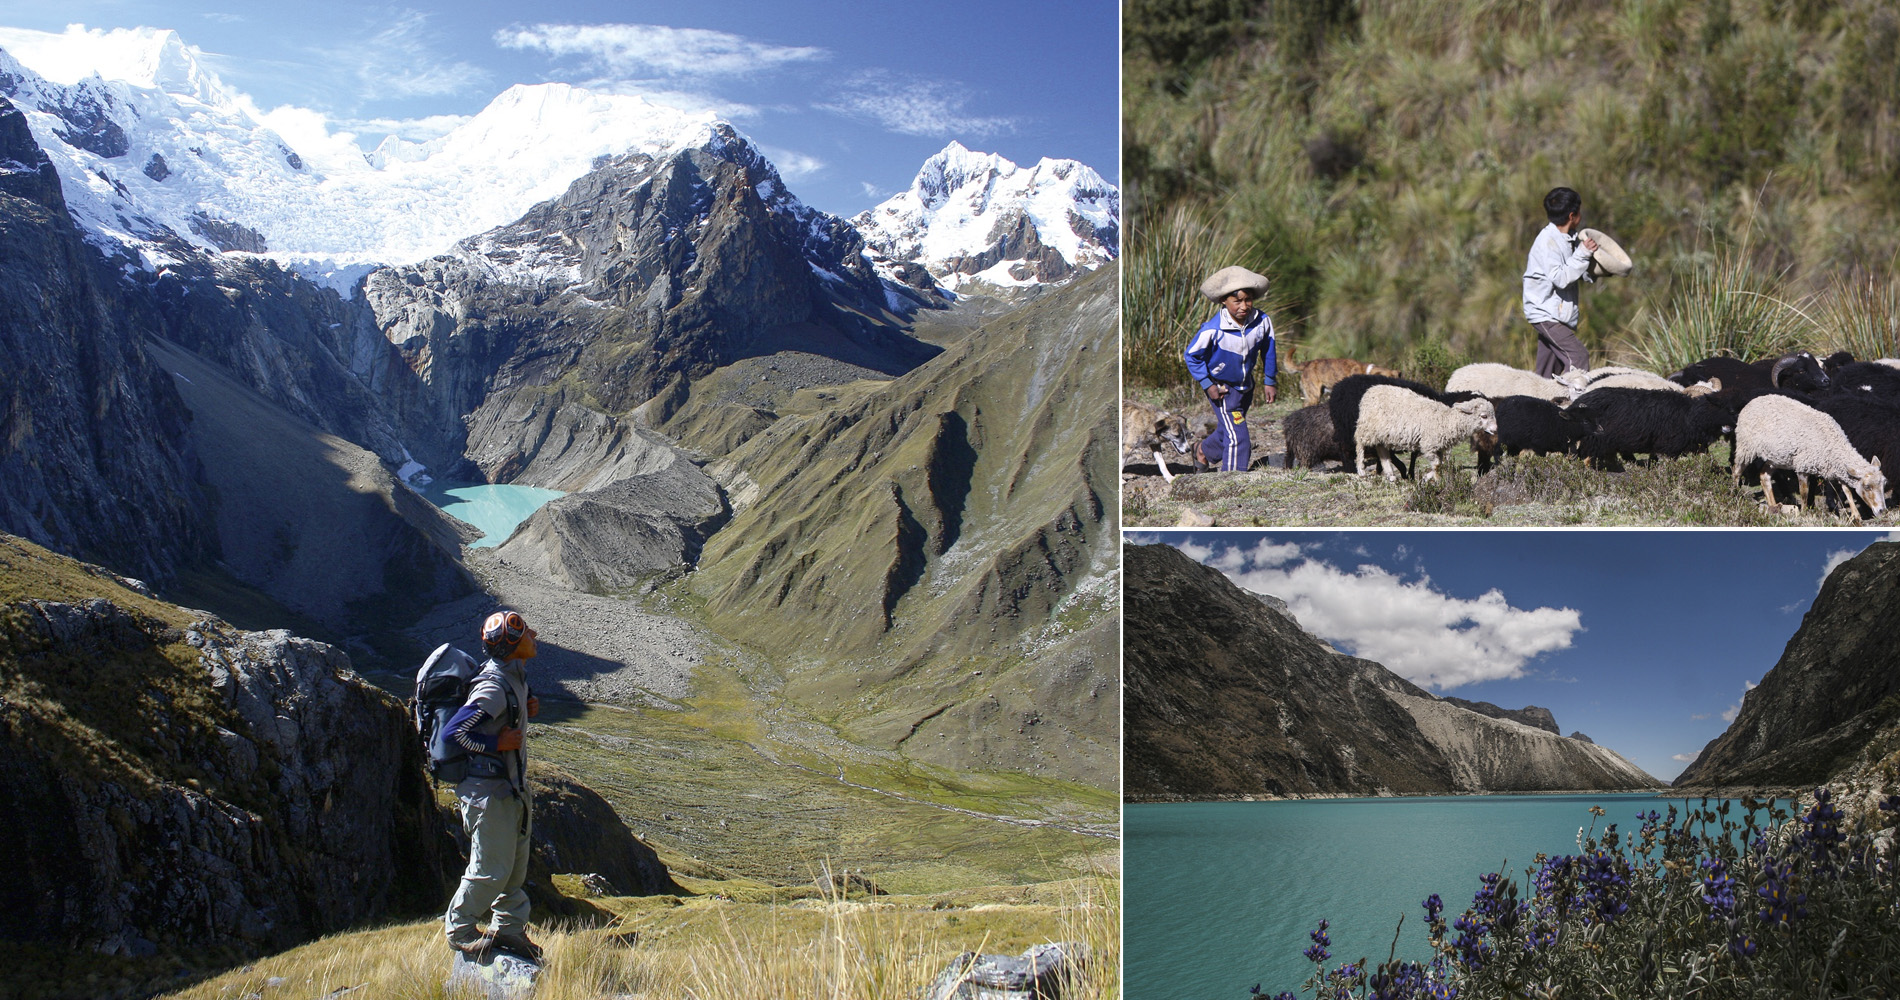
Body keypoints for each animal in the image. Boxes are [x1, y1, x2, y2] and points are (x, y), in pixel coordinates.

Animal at [1558, 389, 1740, 473]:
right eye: (1730, 410)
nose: (1737, 426)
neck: (1691, 415)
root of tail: (1577, 402)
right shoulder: (1667, 446)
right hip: (1595, 440)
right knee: (1586, 458)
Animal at [1740, 393, 1884, 520]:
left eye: (1883, 484)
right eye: (1867, 487)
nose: (1882, 510)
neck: (1833, 441)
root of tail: (1755, 400)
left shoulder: (1838, 469)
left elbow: (1847, 490)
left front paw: (1856, 516)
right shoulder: (1802, 467)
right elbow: (1804, 493)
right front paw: (1804, 513)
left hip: (1774, 458)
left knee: (1764, 476)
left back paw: (1773, 506)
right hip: (1745, 446)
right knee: (1737, 470)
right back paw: (1735, 493)